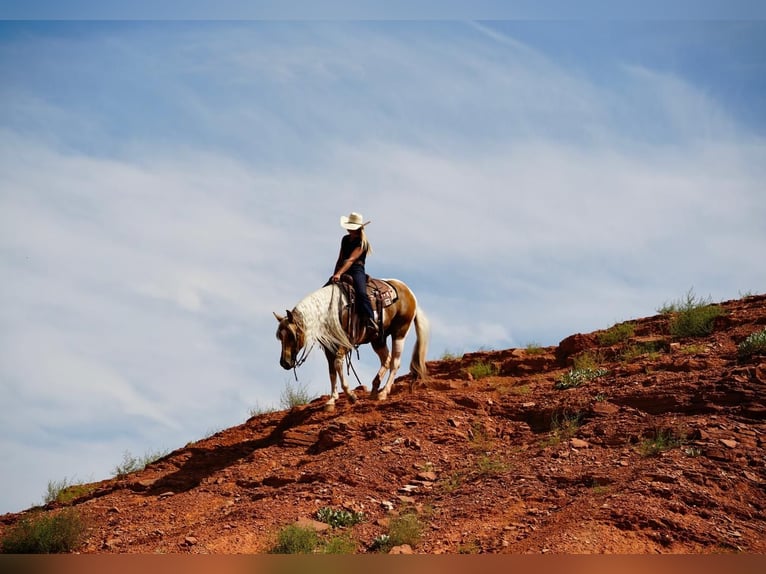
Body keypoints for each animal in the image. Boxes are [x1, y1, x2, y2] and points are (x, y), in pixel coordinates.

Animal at [276, 278, 432, 410]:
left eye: (292, 335)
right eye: (280, 337)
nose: (284, 363)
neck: (331, 311)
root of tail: (409, 292)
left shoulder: (346, 342)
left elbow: (338, 364)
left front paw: (350, 395)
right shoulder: (329, 347)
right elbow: (331, 371)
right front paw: (332, 400)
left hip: (399, 333)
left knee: (395, 362)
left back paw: (383, 393)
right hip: (378, 339)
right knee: (386, 360)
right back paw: (375, 388)